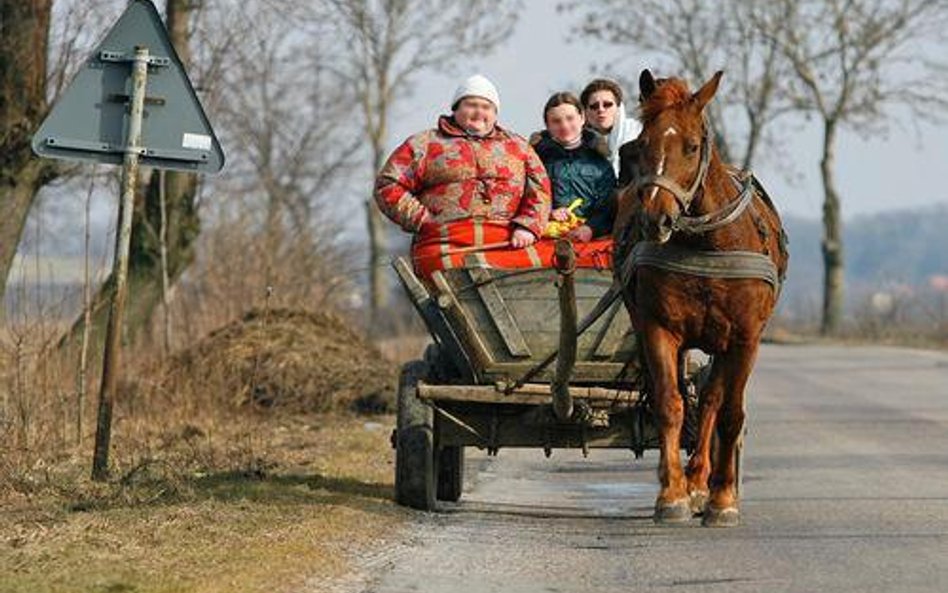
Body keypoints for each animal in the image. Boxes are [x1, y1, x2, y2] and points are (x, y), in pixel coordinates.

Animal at [612, 70, 788, 528]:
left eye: (692, 146)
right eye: (642, 144)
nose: (656, 220)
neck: (707, 244)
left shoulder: (745, 338)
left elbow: (728, 412)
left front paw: (722, 498)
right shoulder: (658, 328)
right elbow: (670, 404)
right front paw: (671, 494)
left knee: (711, 399)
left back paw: (701, 483)